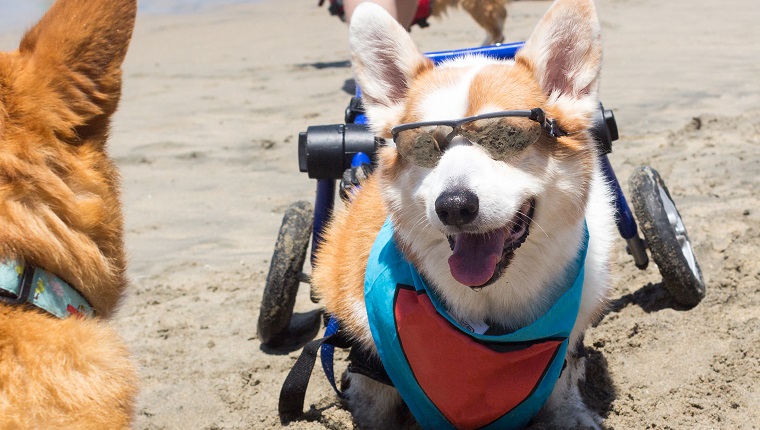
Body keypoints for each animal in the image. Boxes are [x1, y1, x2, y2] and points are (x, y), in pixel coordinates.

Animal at [312, 0, 616, 430]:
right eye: (424, 144)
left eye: (506, 135)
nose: (454, 206)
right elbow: (373, 405)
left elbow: (564, 386)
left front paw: (575, 416)